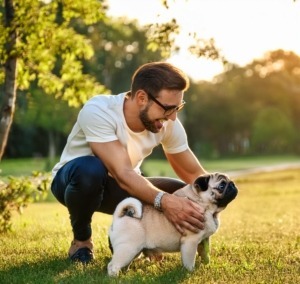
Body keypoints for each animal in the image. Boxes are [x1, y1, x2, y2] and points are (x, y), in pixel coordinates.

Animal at [107, 172, 237, 276]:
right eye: (221, 186)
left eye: (230, 182)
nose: (233, 184)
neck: (204, 206)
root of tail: (119, 217)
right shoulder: (190, 242)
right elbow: (189, 261)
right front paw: (190, 272)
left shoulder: (204, 240)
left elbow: (205, 253)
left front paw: (206, 265)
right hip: (128, 248)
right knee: (112, 265)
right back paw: (115, 277)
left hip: (135, 251)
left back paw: (125, 273)